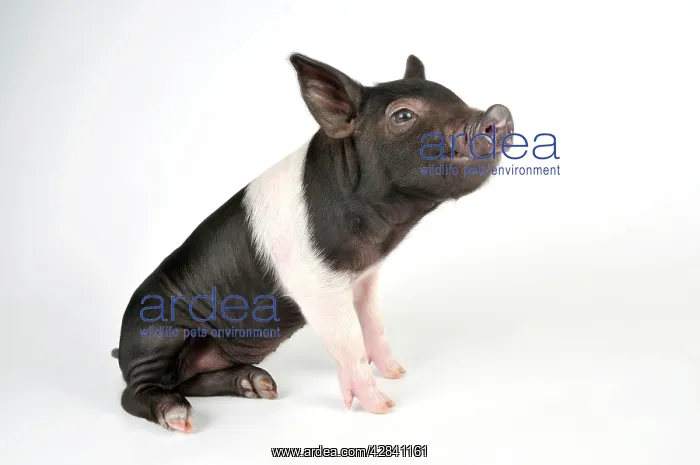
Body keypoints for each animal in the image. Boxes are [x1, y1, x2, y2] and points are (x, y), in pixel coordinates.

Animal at [112, 53, 514, 432]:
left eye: (455, 96)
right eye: (403, 115)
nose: (499, 111)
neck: (379, 226)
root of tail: (123, 347)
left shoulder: (365, 275)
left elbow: (373, 323)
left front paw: (398, 372)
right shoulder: (316, 282)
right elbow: (349, 339)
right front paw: (383, 407)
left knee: (190, 381)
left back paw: (259, 385)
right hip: (156, 333)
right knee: (136, 393)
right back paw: (179, 416)